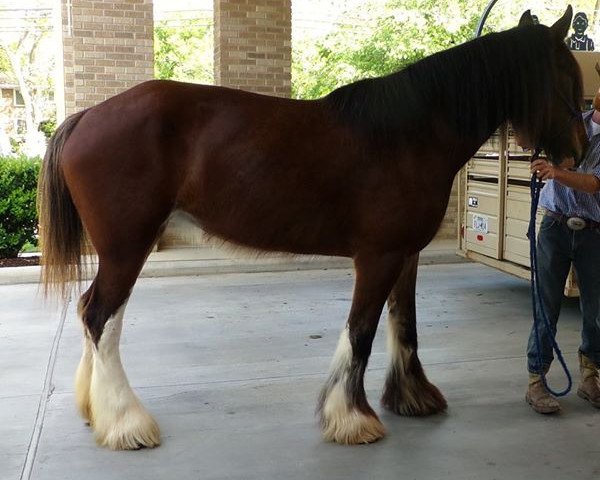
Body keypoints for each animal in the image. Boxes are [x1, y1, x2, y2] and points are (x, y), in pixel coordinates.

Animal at [37, 7, 584, 450]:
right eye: (566, 77)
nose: (578, 155)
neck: (410, 134)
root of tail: (87, 116)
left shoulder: (407, 255)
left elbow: (404, 325)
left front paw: (412, 397)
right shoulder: (378, 257)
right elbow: (361, 331)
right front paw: (352, 419)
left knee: (92, 313)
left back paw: (96, 411)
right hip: (127, 248)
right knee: (100, 318)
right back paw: (126, 423)